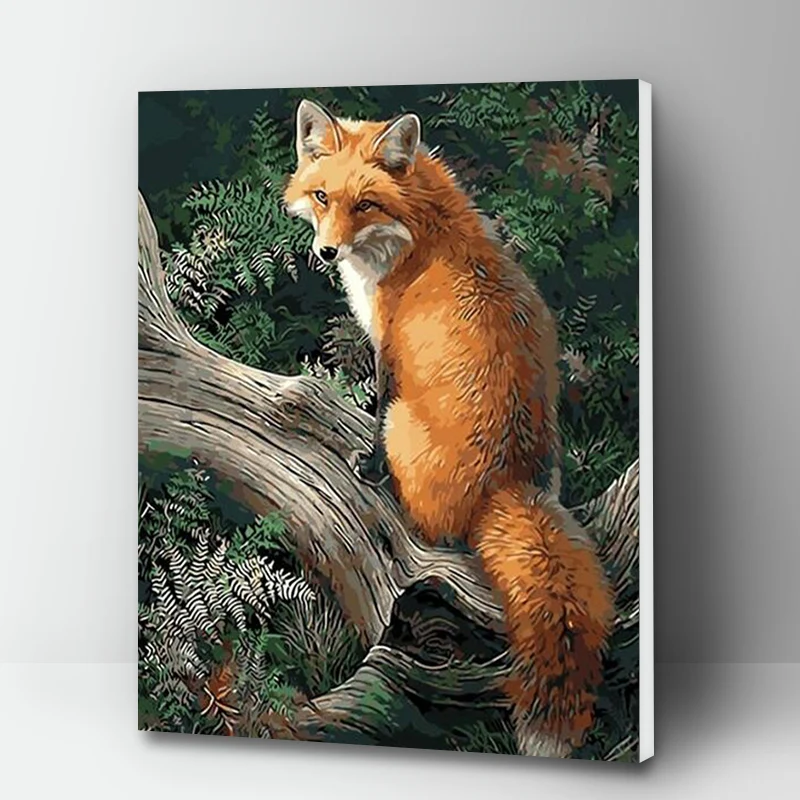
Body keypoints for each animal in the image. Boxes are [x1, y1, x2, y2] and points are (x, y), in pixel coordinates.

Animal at [284, 99, 614, 757]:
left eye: (365, 204)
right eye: (323, 197)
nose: (326, 253)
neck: (422, 231)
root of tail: (509, 485)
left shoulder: (388, 348)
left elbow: (376, 407)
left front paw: (367, 466)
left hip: (408, 428)